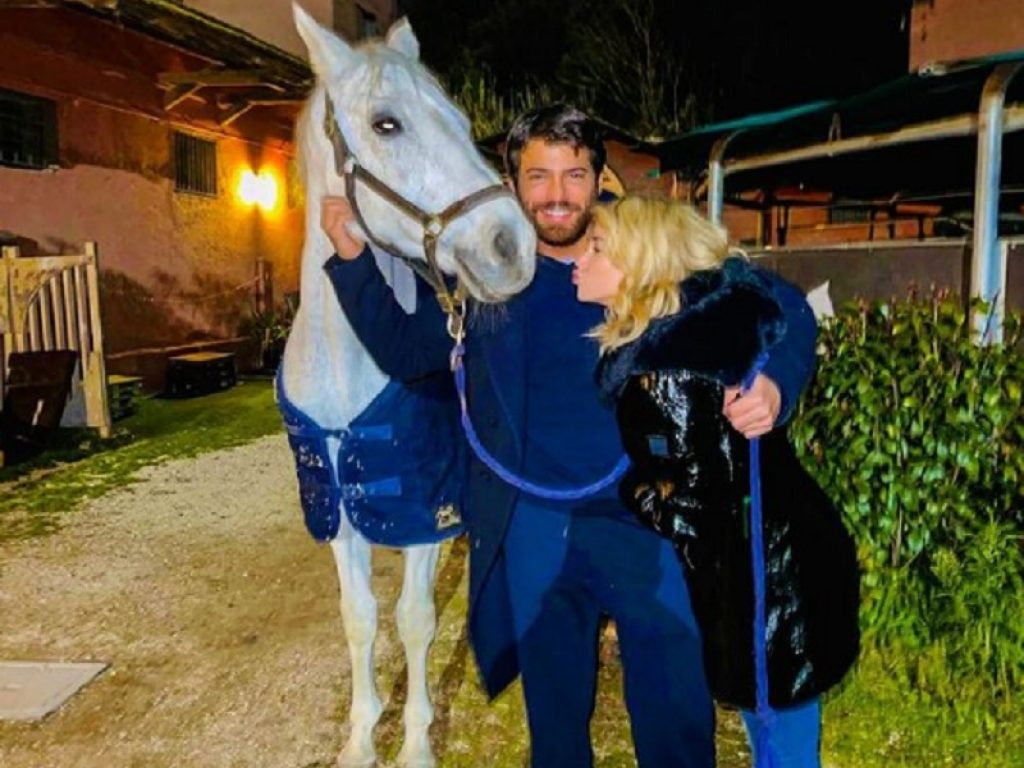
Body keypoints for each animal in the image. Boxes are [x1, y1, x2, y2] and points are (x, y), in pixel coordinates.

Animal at [281, 5, 536, 766]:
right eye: (386, 123)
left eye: (458, 116)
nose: (512, 244)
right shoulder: (339, 509)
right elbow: (361, 619)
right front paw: (362, 738)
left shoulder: (425, 511)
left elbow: (415, 619)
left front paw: (417, 742)